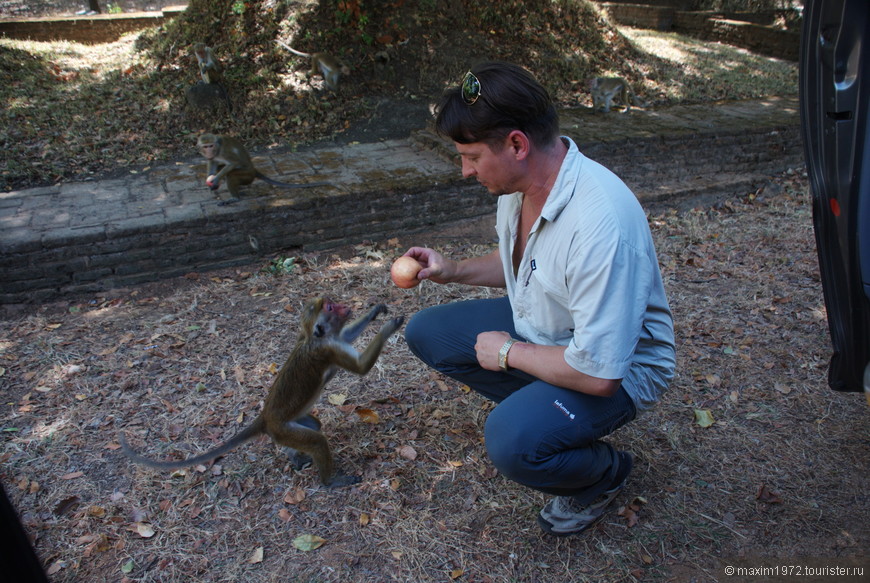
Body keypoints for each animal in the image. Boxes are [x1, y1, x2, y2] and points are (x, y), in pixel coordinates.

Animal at [121, 296, 408, 488]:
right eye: (329, 307)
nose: (343, 305)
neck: (314, 338)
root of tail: (265, 418)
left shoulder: (333, 340)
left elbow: (347, 335)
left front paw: (374, 313)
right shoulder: (328, 349)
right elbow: (360, 367)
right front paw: (389, 326)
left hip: (288, 426)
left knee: (313, 426)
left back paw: (293, 455)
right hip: (282, 429)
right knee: (316, 440)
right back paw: (329, 481)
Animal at [197, 133, 330, 206]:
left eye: (210, 145)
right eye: (205, 146)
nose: (209, 151)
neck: (217, 149)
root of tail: (253, 169)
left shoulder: (225, 152)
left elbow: (233, 163)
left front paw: (215, 180)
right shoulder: (212, 156)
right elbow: (212, 163)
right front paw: (212, 181)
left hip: (247, 175)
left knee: (232, 175)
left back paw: (235, 197)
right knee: (222, 168)